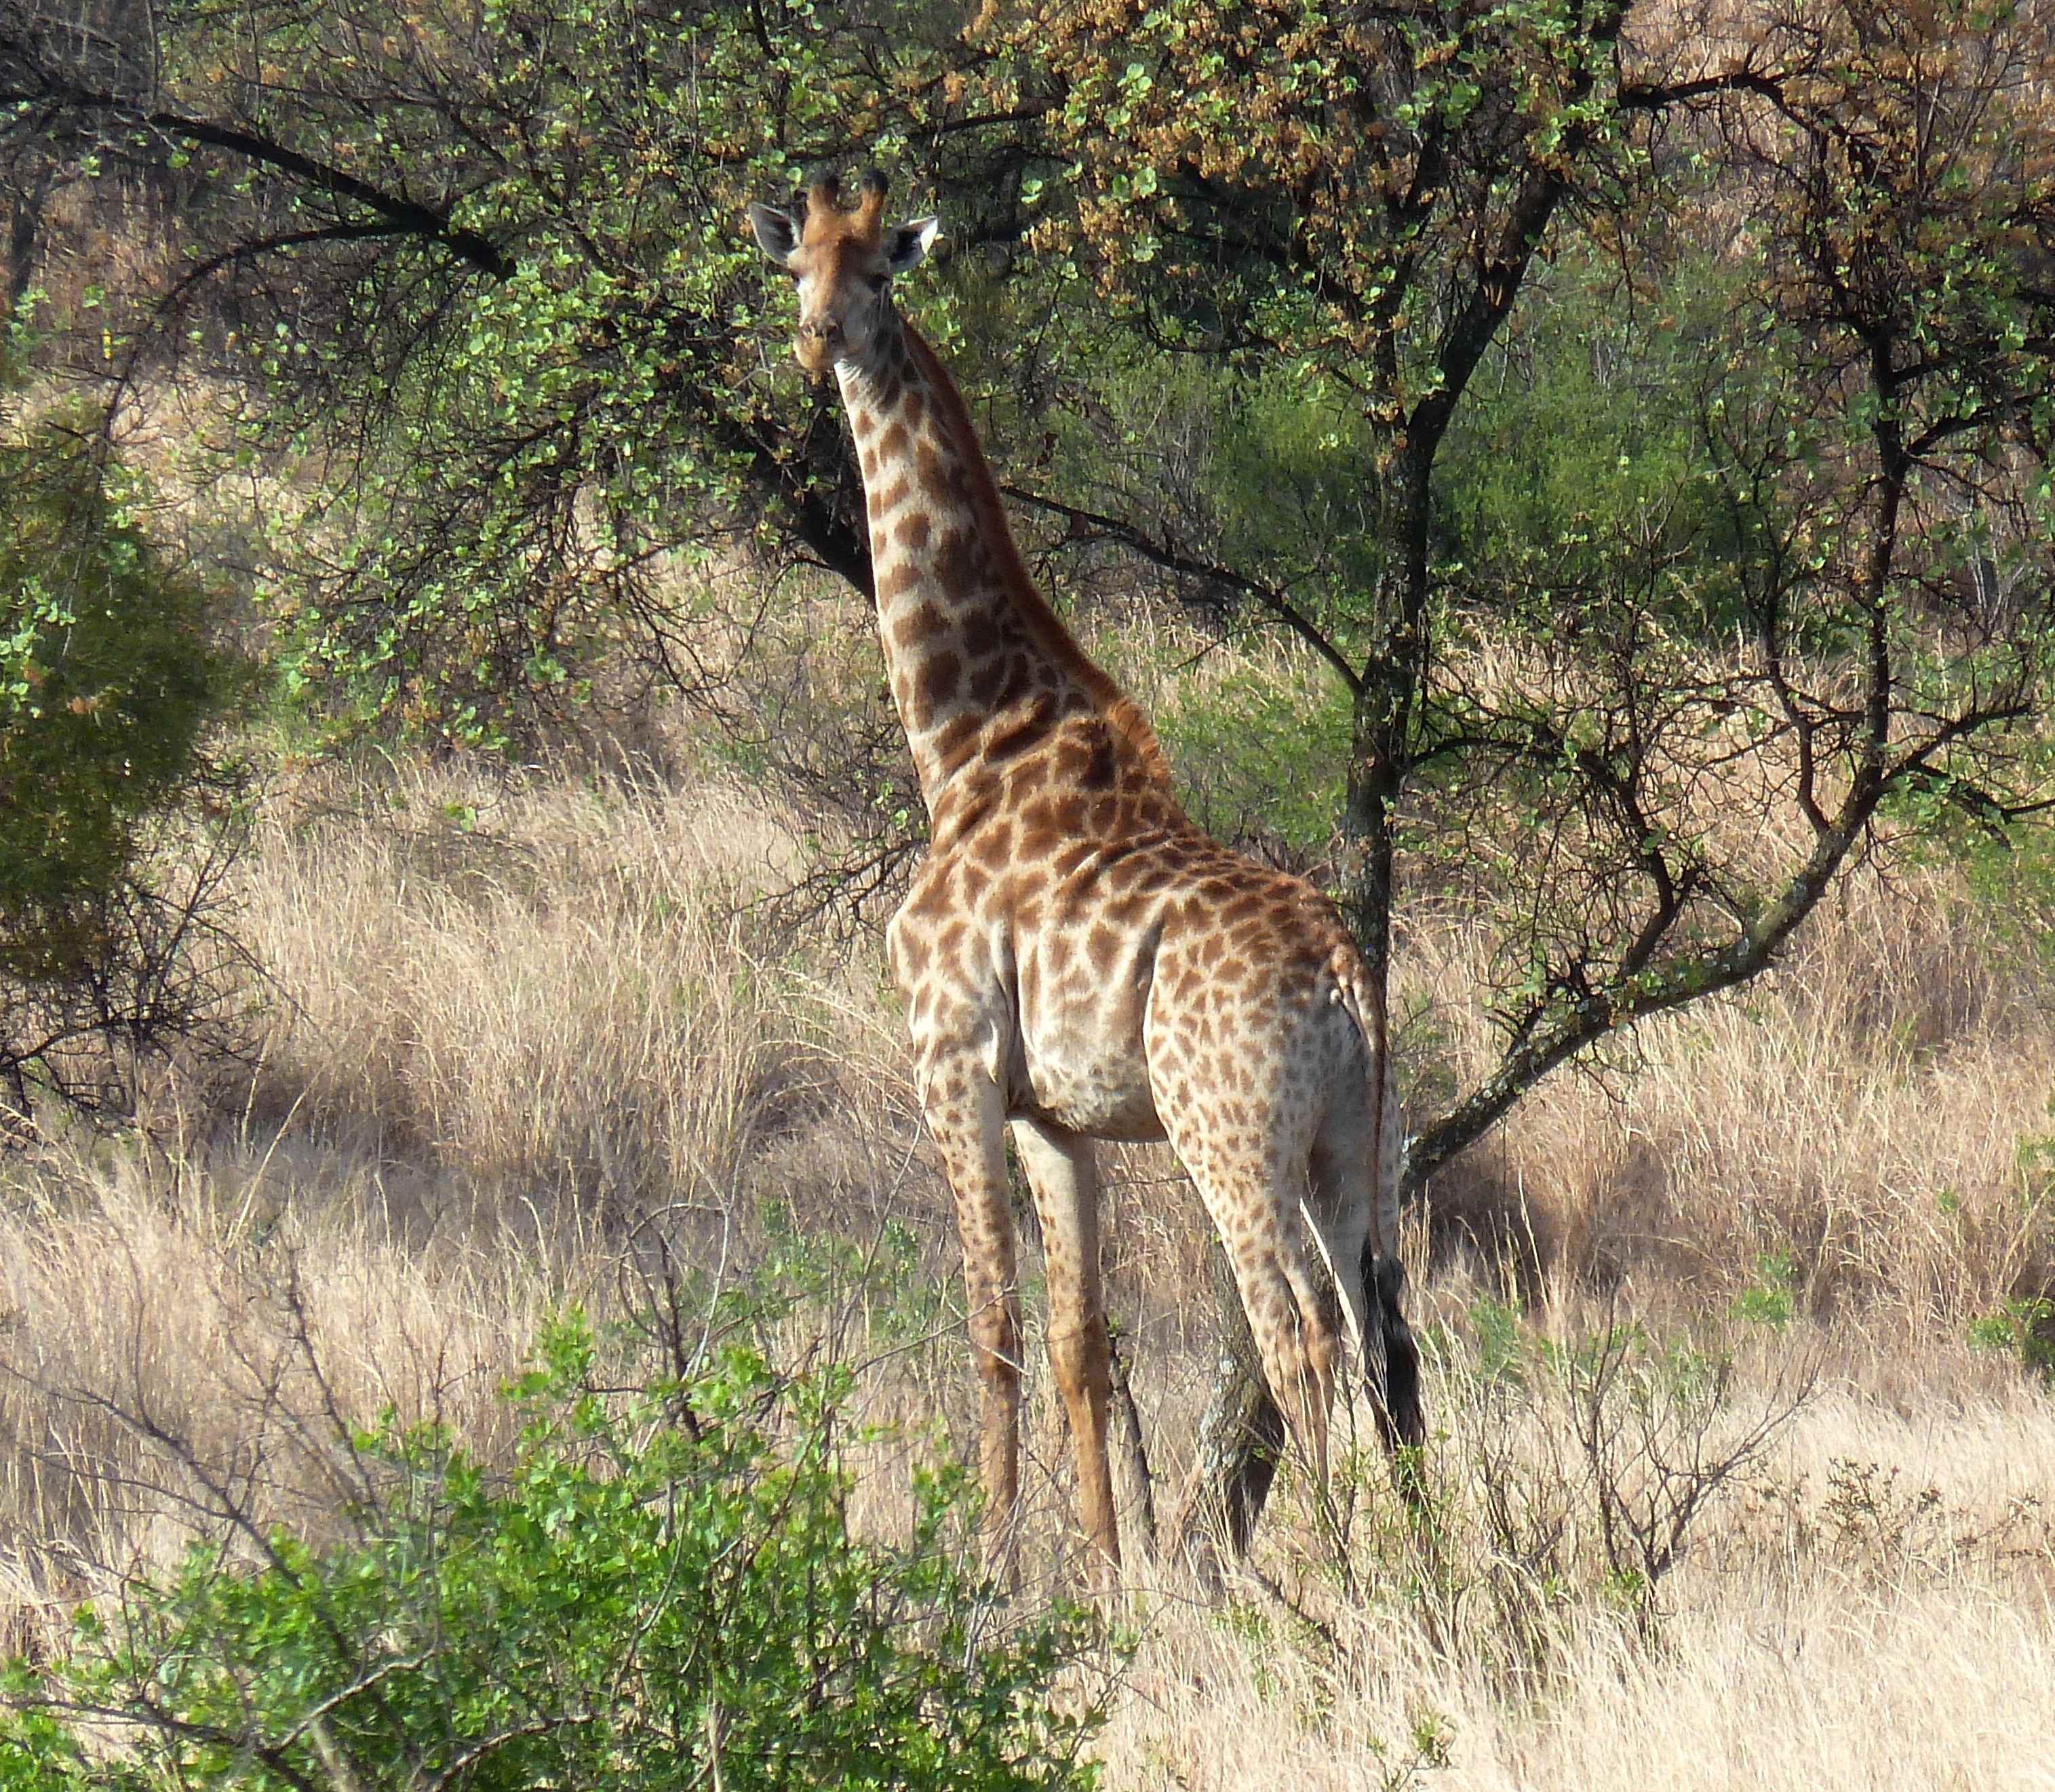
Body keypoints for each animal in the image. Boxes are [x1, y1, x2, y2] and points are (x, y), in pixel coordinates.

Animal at [747, 164, 1422, 1570]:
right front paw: (1104, 1573)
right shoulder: (1054, 1113)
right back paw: (1420, 1569)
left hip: (1228, 1132)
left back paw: (1329, 1578)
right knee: (1384, 1334)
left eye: (879, 271)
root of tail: (1346, 970)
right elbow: (1077, 1334)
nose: (818, 339)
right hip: (1351, 1140)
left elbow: (991, 1322)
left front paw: (988, 1564)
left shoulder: (948, 1056)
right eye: (796, 266)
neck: (961, 744)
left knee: (1297, 1337)